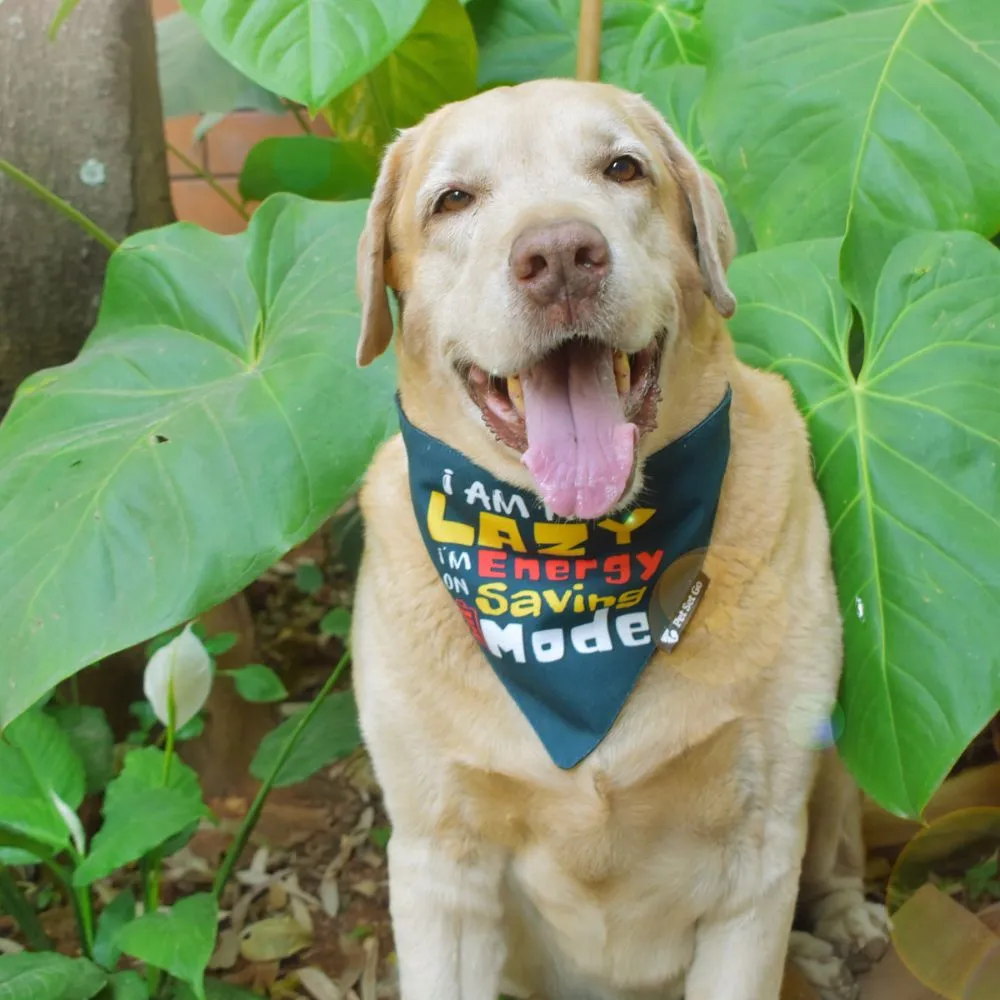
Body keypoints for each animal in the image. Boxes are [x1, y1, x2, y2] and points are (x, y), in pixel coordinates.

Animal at [350, 80, 884, 1000]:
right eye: (452, 200)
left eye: (623, 168)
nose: (561, 255)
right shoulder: (437, 862)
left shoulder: (758, 849)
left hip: (834, 759)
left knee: (836, 861)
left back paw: (839, 937)